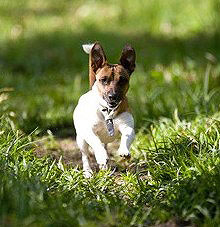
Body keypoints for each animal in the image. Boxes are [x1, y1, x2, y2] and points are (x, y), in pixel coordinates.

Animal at [74, 42, 136, 177]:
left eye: (123, 80)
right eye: (103, 80)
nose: (113, 96)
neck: (108, 113)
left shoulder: (128, 127)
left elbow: (126, 136)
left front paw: (124, 150)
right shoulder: (89, 132)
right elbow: (96, 143)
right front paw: (101, 156)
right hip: (81, 140)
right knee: (85, 156)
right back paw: (88, 172)